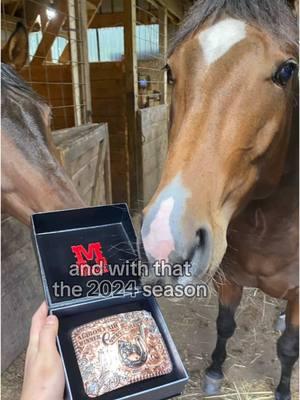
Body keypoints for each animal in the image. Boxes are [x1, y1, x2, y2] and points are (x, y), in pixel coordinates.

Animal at [141, 1, 300, 398]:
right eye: (170, 71)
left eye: (287, 71)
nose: (164, 240)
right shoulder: (228, 280)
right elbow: (224, 324)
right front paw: (214, 371)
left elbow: (289, 347)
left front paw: (283, 390)